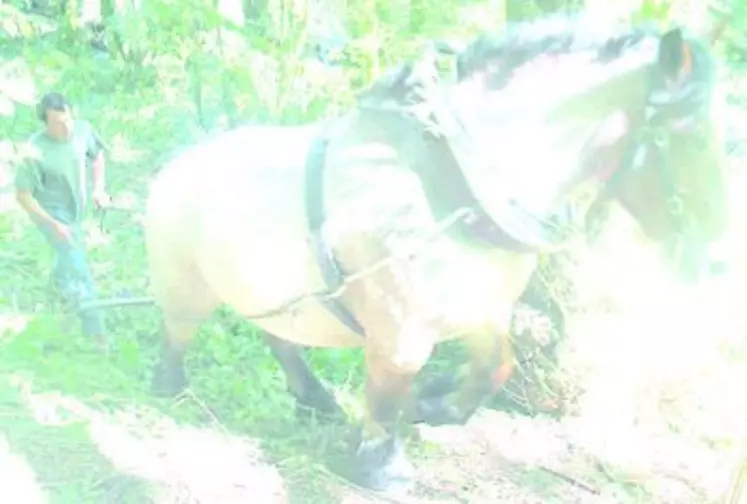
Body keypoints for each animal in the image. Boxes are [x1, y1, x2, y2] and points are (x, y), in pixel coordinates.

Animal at [142, 18, 732, 492]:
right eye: (691, 135)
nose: (713, 256)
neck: (461, 188)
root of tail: (176, 166)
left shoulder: (484, 310)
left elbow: (495, 367)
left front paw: (436, 406)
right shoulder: (400, 328)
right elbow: (389, 391)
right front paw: (383, 464)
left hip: (276, 293)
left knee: (278, 336)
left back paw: (315, 399)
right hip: (189, 284)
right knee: (178, 333)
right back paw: (172, 387)